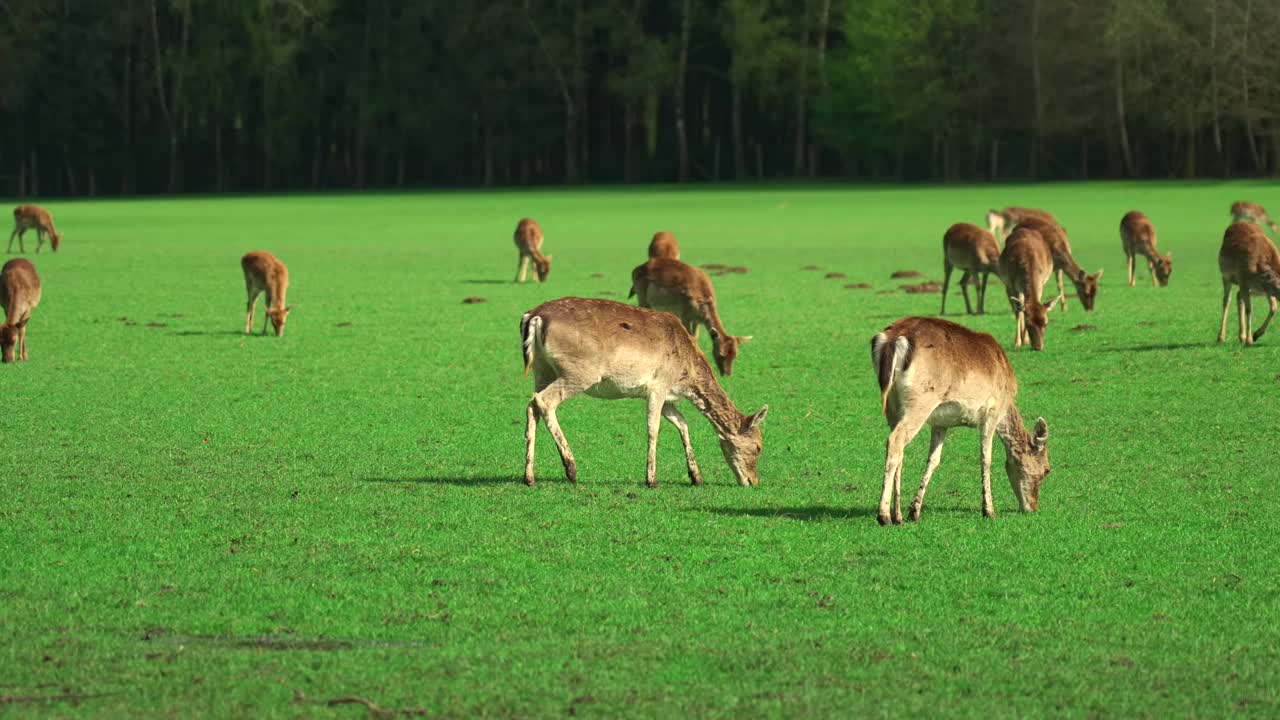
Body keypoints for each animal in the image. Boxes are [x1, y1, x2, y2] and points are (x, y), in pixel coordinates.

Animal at [519, 294, 768, 484]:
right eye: (758, 447)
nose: (753, 481)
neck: (684, 375)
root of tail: (534, 317)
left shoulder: (668, 397)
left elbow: (683, 423)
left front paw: (696, 477)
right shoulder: (658, 386)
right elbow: (653, 428)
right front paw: (651, 479)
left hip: (542, 369)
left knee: (532, 403)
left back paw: (529, 477)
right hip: (579, 372)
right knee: (544, 401)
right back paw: (571, 469)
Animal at [870, 316, 1049, 525]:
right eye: (1047, 469)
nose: (1033, 507)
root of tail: (892, 338)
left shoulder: (940, 423)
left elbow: (934, 460)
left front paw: (914, 512)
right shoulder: (991, 412)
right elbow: (986, 458)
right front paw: (989, 510)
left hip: (893, 406)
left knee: (900, 449)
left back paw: (897, 516)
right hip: (921, 401)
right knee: (895, 440)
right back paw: (883, 516)